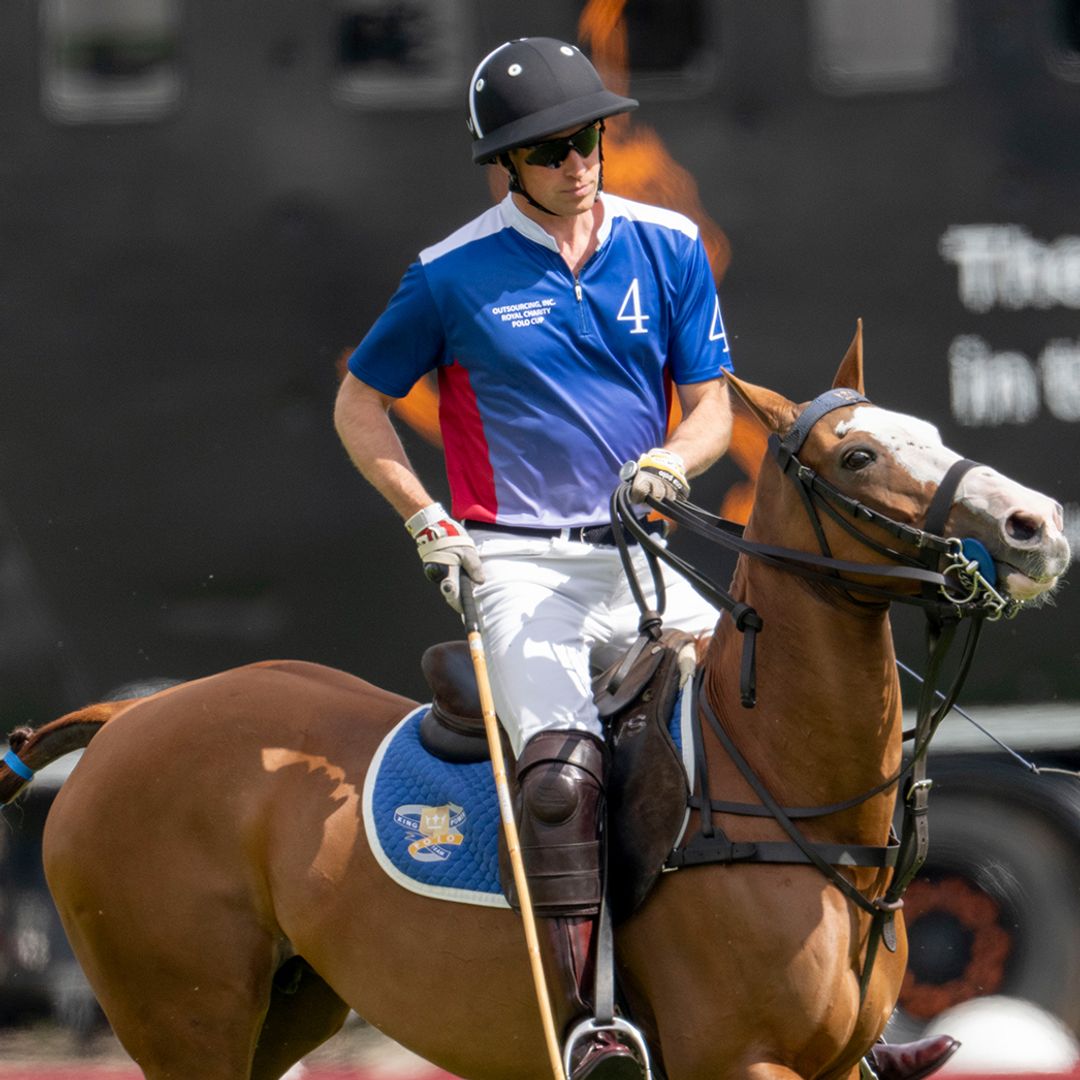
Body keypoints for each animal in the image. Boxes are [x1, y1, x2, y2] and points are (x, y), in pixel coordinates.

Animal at [0, 330, 1062, 1080]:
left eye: (933, 436)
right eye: (857, 458)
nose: (1038, 524)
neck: (782, 785)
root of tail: (128, 719)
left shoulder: (833, 1066)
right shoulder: (740, 1058)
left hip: (286, 1004)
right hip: (184, 1014)